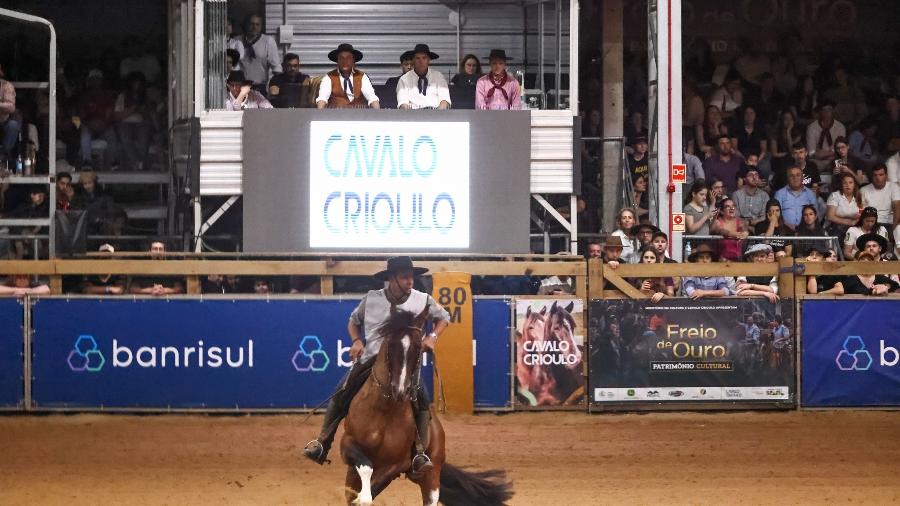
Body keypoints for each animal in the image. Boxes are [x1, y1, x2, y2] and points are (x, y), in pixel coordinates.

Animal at [342, 304, 512, 506]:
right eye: (391, 344)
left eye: (418, 348)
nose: (400, 390)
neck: (383, 410)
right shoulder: (348, 445)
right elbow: (365, 468)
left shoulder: (397, 464)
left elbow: (373, 486)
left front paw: (363, 497)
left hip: (431, 476)